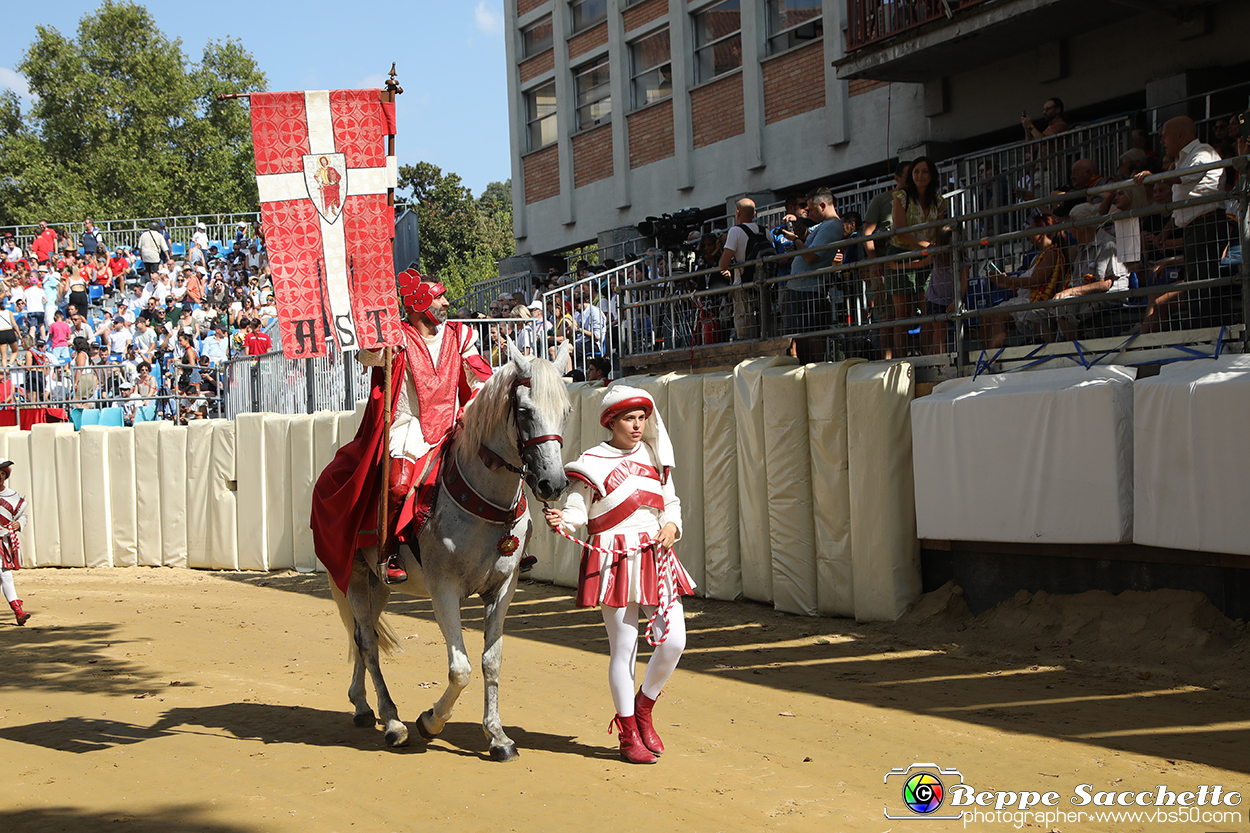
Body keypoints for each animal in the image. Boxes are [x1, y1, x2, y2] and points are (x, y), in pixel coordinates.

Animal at [327, 340, 572, 755]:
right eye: (525, 411)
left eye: (566, 412)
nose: (552, 484)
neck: (485, 502)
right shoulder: (443, 588)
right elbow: (461, 669)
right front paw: (431, 720)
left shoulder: (503, 588)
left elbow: (491, 661)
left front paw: (498, 736)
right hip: (356, 577)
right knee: (368, 642)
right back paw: (392, 721)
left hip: (380, 585)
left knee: (364, 636)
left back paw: (361, 705)